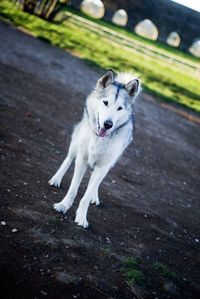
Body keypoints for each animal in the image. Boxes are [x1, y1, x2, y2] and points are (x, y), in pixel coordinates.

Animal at [48, 70, 141, 229]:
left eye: (120, 108)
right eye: (105, 102)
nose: (108, 124)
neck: (100, 138)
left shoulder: (103, 166)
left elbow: (87, 193)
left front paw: (81, 217)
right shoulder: (82, 159)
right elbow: (73, 189)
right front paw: (63, 205)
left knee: (94, 182)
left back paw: (94, 196)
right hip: (75, 143)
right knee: (68, 160)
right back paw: (56, 179)